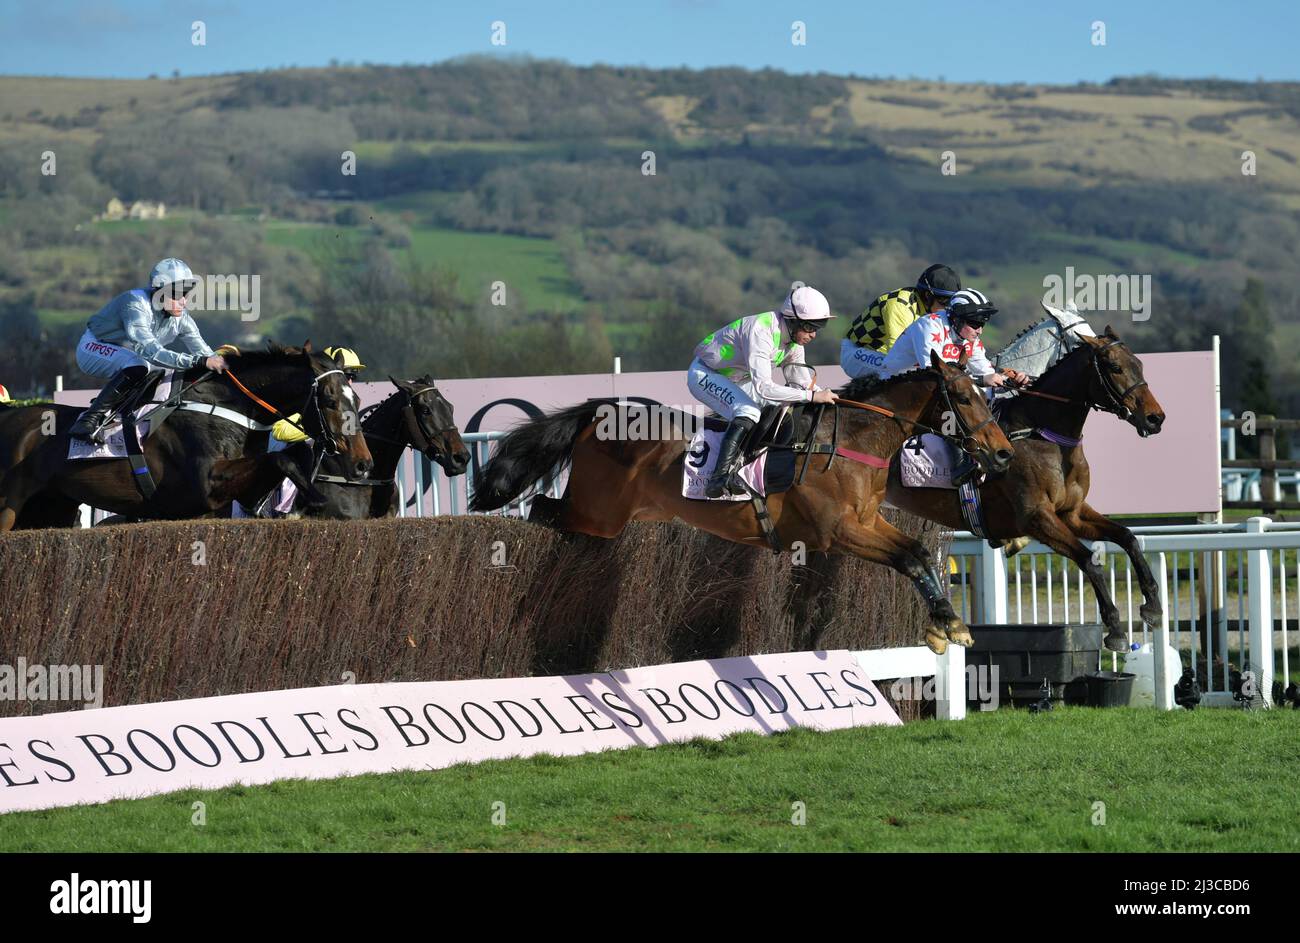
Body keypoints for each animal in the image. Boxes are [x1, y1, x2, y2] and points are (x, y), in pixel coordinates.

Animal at [0, 343, 374, 530]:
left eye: (357, 400)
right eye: (329, 400)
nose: (363, 464)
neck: (223, 405)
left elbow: (281, 459)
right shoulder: (204, 486)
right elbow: (280, 457)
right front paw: (313, 499)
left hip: (52, 508)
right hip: (9, 505)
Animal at [467, 348, 1013, 650]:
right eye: (966, 398)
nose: (1004, 454)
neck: (851, 440)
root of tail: (602, 411)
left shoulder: (866, 522)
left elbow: (917, 551)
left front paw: (949, 624)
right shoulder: (837, 532)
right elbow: (907, 557)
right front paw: (948, 626)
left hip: (606, 515)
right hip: (597, 512)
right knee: (543, 510)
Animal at [883, 305, 1170, 650]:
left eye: (1138, 364)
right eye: (1114, 367)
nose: (1155, 418)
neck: (1042, 432)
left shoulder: (1072, 512)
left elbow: (1127, 537)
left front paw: (1152, 606)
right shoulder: (1036, 517)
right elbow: (1088, 559)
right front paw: (1114, 628)